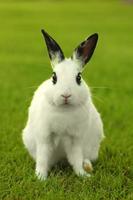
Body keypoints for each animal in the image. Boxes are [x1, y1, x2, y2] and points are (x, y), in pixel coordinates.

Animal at [22, 29, 104, 180]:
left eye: (79, 77)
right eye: (54, 77)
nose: (66, 95)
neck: (64, 110)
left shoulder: (75, 139)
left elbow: (76, 158)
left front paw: (83, 175)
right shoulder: (45, 137)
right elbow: (43, 158)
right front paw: (41, 177)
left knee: (84, 157)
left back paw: (87, 166)